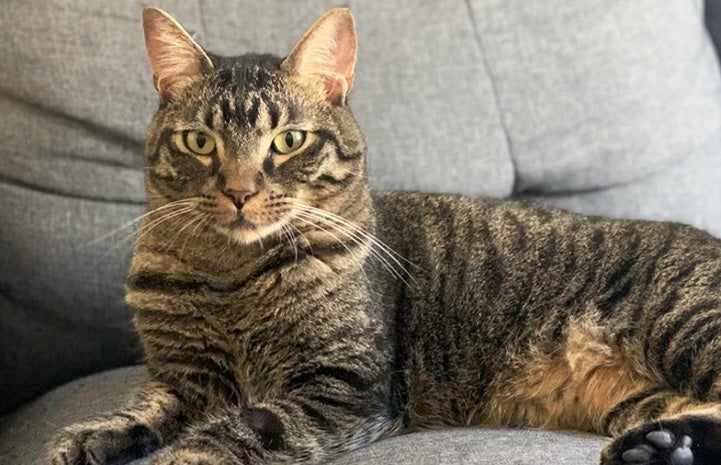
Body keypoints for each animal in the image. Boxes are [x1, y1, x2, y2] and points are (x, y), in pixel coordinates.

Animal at [47, 4, 720, 464]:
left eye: (288, 141)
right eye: (199, 141)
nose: (239, 191)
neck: (231, 275)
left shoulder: (346, 386)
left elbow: (243, 427)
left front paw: (188, 453)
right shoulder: (183, 377)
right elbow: (141, 412)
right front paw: (89, 439)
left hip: (686, 321)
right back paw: (663, 444)